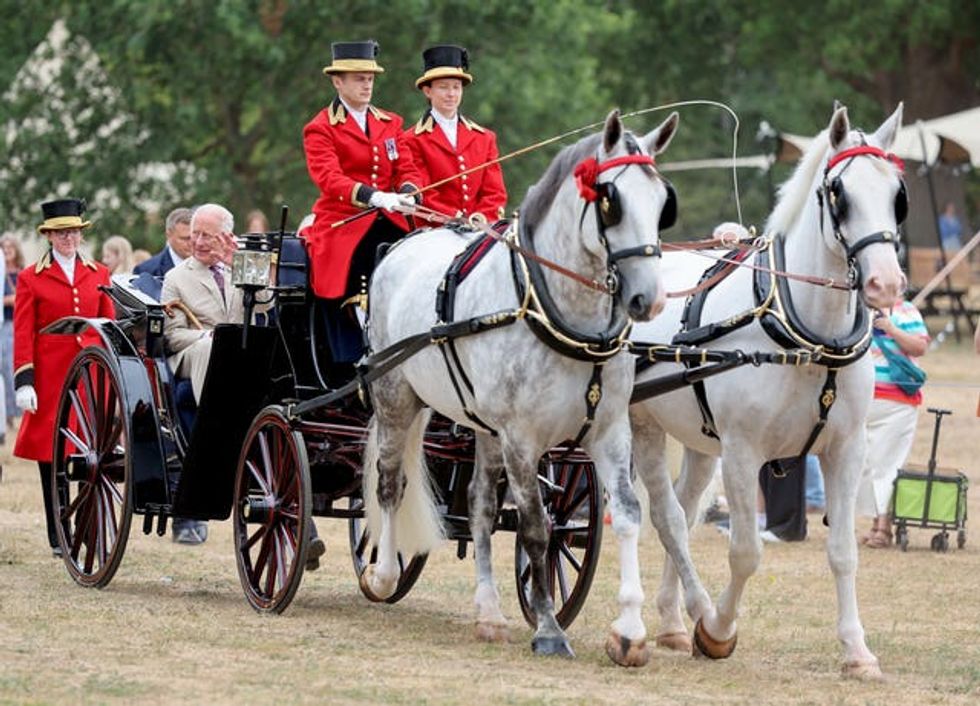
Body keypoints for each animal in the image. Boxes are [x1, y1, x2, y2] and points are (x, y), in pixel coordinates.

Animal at [361, 109, 679, 666]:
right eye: (611, 200)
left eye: (663, 203)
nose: (651, 299)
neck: (558, 313)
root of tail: (402, 244)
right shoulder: (521, 440)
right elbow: (535, 528)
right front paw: (550, 630)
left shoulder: (608, 431)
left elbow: (627, 513)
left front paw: (630, 630)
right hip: (396, 398)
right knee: (390, 481)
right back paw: (381, 573)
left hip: (483, 428)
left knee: (480, 504)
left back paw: (489, 612)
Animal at [629, 102, 907, 678]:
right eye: (839, 193)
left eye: (897, 192)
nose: (886, 284)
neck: (807, 335)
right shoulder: (743, 451)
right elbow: (745, 553)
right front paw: (717, 630)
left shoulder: (847, 449)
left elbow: (843, 552)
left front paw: (857, 652)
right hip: (639, 425)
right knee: (665, 517)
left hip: (698, 441)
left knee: (684, 513)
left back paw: (671, 621)